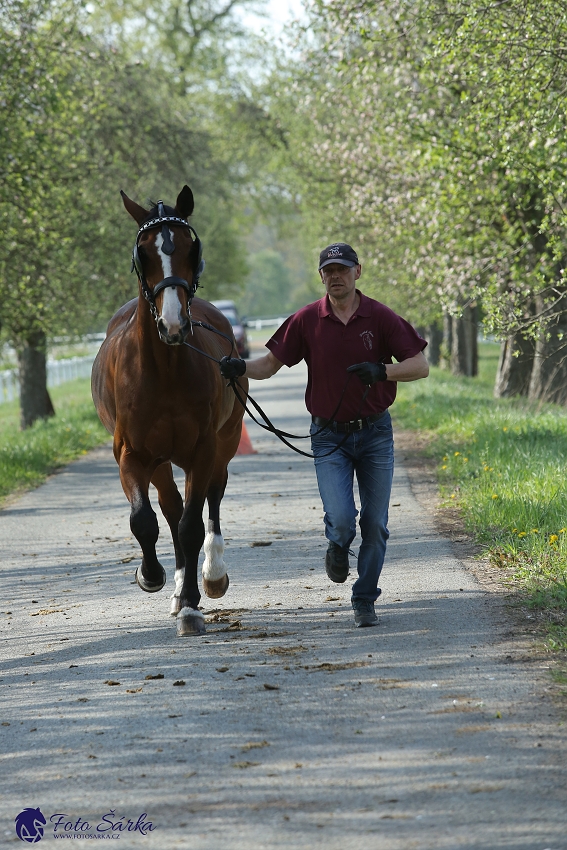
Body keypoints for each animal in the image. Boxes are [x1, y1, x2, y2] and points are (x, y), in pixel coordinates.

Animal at [91, 187, 246, 636]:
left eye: (191, 248)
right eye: (143, 251)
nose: (173, 324)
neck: (165, 369)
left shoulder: (203, 450)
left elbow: (192, 525)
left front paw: (194, 604)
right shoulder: (133, 455)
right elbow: (145, 520)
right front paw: (153, 576)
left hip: (225, 442)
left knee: (210, 499)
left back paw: (210, 576)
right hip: (160, 461)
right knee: (170, 506)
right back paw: (176, 587)